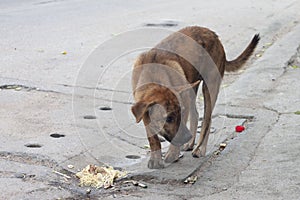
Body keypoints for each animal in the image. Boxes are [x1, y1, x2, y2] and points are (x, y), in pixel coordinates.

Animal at [131, 25, 260, 168]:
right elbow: (152, 137)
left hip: (209, 87)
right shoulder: (143, 111)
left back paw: (200, 148)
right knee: (196, 114)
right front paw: (156, 158)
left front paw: (173, 154)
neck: (154, 75)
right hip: (192, 88)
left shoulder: (184, 102)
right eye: (169, 118)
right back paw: (190, 144)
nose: (187, 136)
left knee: (207, 120)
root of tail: (214, 35)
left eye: (180, 113)